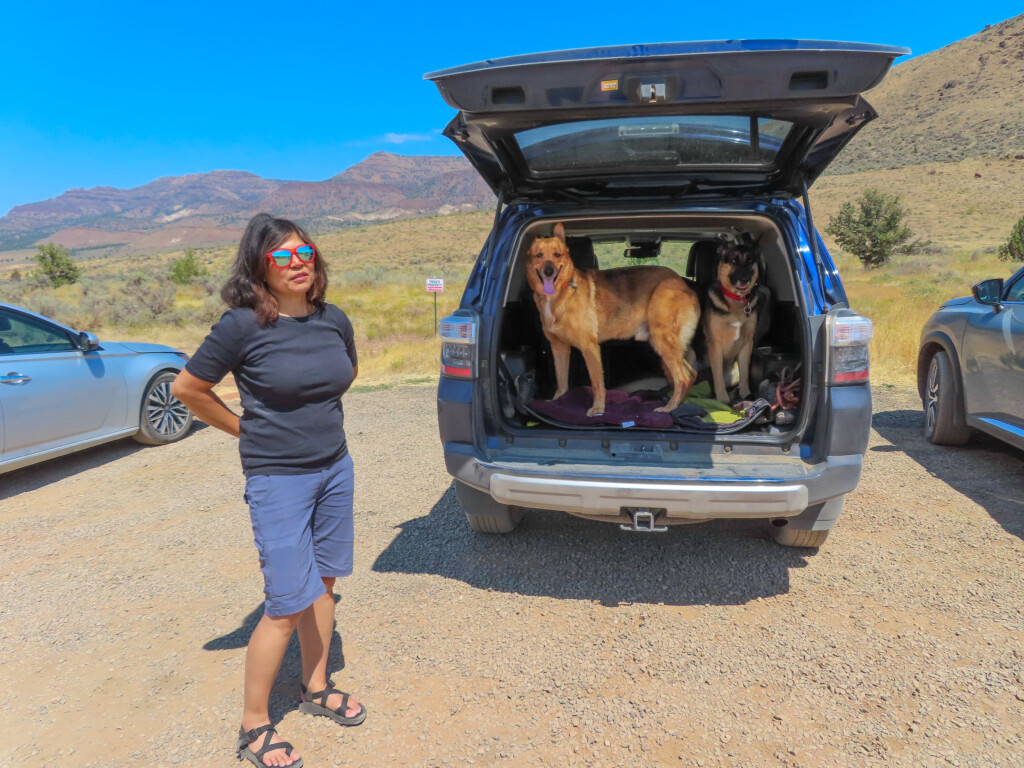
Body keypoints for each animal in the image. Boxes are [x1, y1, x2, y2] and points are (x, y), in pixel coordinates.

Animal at [524, 219, 700, 417]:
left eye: (557, 255)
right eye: (539, 255)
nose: (549, 271)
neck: (558, 294)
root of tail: (684, 285)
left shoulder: (589, 347)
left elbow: (597, 383)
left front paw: (598, 409)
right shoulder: (559, 348)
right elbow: (561, 381)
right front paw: (557, 402)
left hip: (663, 341)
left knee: (683, 378)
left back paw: (670, 407)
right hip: (665, 344)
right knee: (691, 374)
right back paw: (681, 404)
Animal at [704, 234, 770, 403]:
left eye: (750, 260)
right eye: (734, 261)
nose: (745, 279)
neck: (737, 300)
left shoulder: (747, 344)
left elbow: (745, 373)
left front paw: (745, 394)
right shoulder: (715, 345)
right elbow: (718, 377)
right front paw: (722, 399)